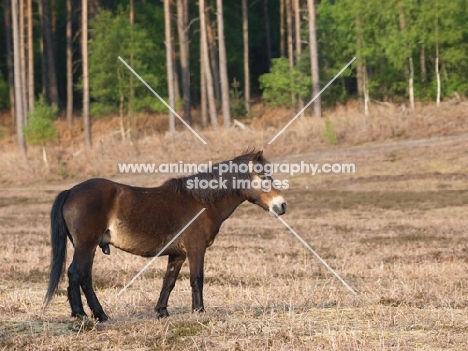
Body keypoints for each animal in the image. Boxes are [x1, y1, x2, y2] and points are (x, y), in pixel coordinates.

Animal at [44, 151, 286, 322]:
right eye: (264, 177)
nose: (282, 205)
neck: (201, 202)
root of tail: (71, 191)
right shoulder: (196, 249)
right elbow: (197, 279)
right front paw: (199, 311)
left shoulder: (178, 254)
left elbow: (168, 282)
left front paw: (161, 311)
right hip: (86, 245)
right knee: (77, 274)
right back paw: (83, 314)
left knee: (84, 276)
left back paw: (97, 314)